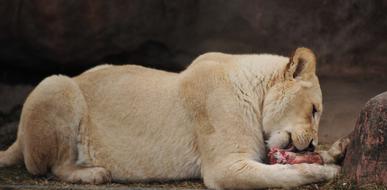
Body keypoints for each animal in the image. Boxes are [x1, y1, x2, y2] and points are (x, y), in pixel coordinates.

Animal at [0, 47, 348, 189]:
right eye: (314, 110)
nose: (313, 142)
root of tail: (17, 139)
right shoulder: (225, 167)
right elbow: (286, 175)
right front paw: (329, 171)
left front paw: (335, 150)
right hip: (56, 83)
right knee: (49, 167)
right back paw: (94, 174)